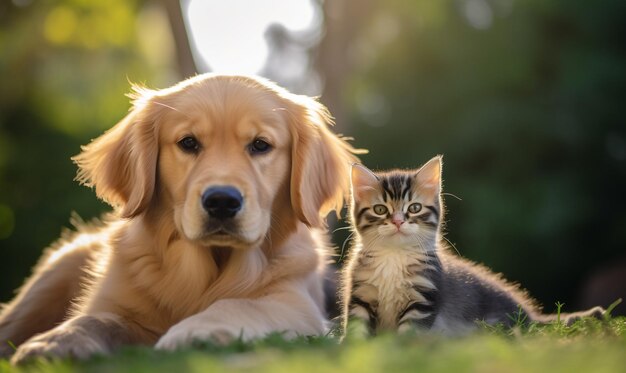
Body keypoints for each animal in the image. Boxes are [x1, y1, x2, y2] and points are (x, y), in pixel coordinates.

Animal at [0, 74, 360, 362]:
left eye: (260, 145)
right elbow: (96, 318)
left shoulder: (294, 301)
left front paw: (195, 330)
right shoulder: (117, 304)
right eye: (188, 143)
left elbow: (239, 304)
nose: (221, 201)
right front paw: (56, 340)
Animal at [338, 155, 604, 336]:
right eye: (380, 209)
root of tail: (529, 317)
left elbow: (408, 335)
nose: (397, 221)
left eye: (414, 208)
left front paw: (397, 351)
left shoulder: (423, 296)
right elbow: (356, 330)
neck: (394, 255)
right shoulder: (360, 293)